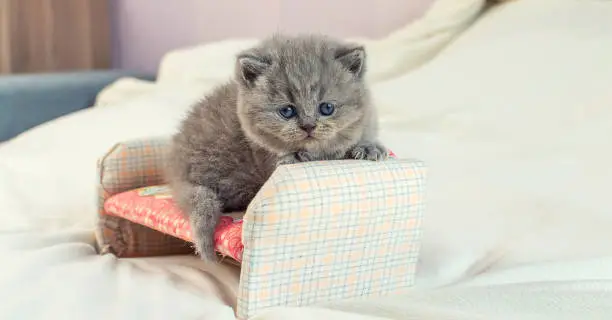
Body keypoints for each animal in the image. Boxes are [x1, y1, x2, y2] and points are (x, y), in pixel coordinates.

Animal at [165, 34, 390, 260]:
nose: (308, 126)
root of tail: (176, 169)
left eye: (327, 108)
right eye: (287, 111)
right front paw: (299, 156)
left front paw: (370, 148)